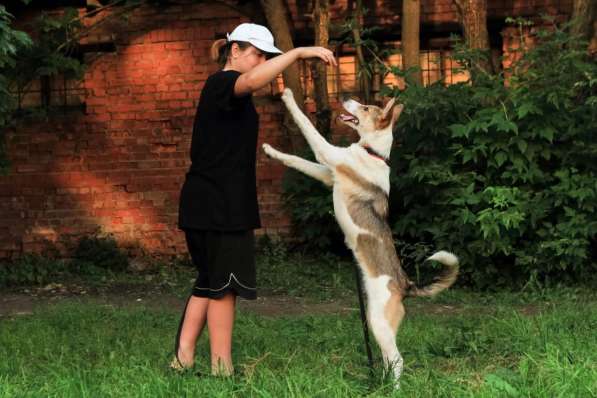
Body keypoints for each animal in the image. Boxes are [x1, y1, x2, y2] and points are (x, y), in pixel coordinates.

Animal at [260, 88, 456, 388]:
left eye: (365, 107)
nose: (343, 96)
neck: (374, 153)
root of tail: (406, 284)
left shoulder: (328, 154)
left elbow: (307, 125)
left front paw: (288, 95)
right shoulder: (327, 172)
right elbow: (298, 160)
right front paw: (271, 151)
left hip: (379, 322)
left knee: (398, 360)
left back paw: (392, 390)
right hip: (377, 324)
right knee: (388, 359)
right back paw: (378, 384)